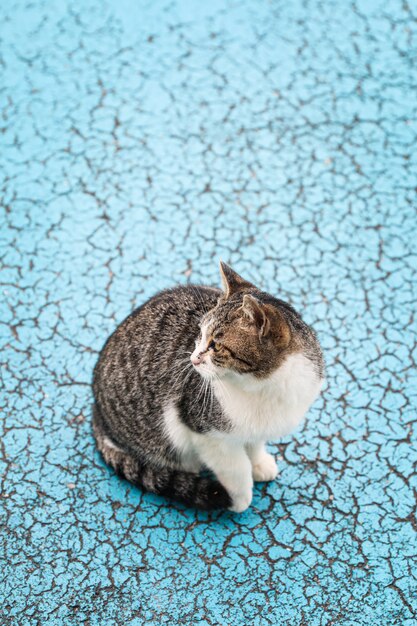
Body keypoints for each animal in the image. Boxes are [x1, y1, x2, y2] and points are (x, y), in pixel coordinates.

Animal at [92, 260, 324, 510]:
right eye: (200, 333)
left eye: (216, 346)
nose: (193, 359)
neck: (263, 388)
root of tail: (96, 407)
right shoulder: (205, 434)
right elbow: (236, 468)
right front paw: (239, 499)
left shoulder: (257, 424)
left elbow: (254, 443)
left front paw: (259, 463)